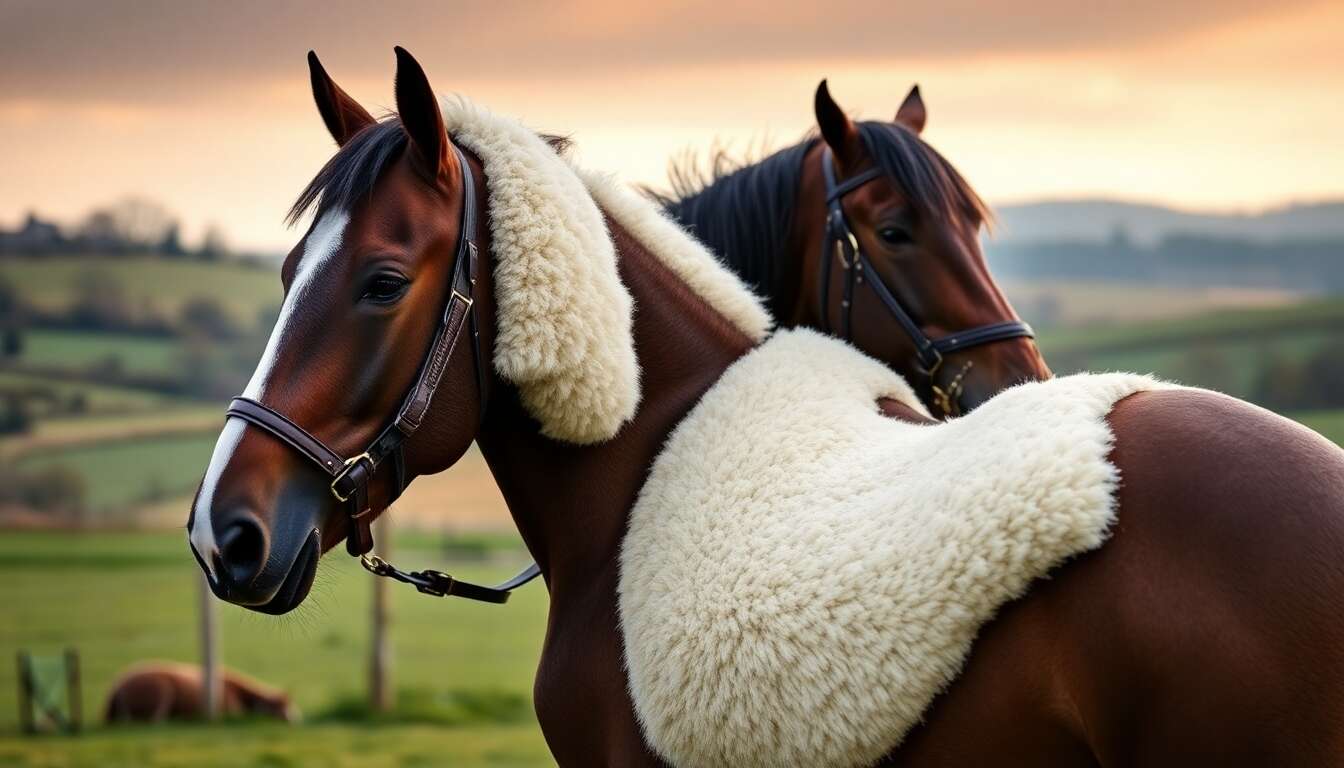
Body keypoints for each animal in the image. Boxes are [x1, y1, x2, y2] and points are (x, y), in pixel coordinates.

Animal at [104, 662, 297, 724]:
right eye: (281, 707)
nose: (295, 719)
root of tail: (116, 687)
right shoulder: (232, 711)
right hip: (161, 693)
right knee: (152, 720)